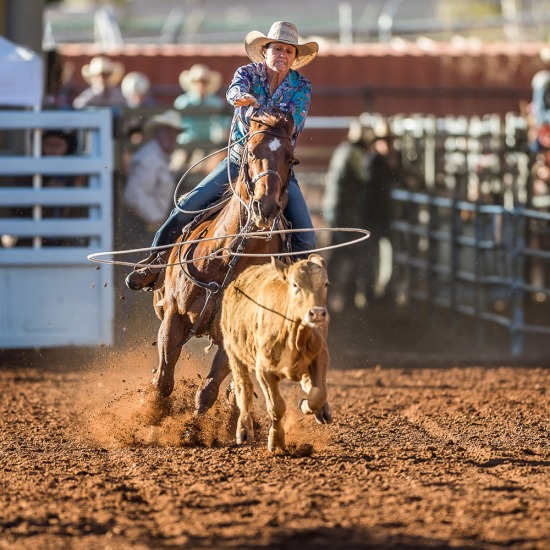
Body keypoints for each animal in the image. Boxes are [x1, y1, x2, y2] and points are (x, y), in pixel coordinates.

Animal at [151, 108, 298, 416]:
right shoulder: (173, 315)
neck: (225, 257)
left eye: (291, 159)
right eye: (251, 152)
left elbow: (206, 392)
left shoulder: (236, 336)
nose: (265, 207)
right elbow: (164, 380)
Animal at [220, 254, 332, 452]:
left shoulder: (320, 357)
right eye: (295, 285)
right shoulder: (264, 371)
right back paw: (244, 429)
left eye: (325, 283)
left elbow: (318, 395)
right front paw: (276, 440)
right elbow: (276, 407)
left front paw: (305, 405)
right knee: (243, 388)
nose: (317, 314)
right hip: (233, 351)